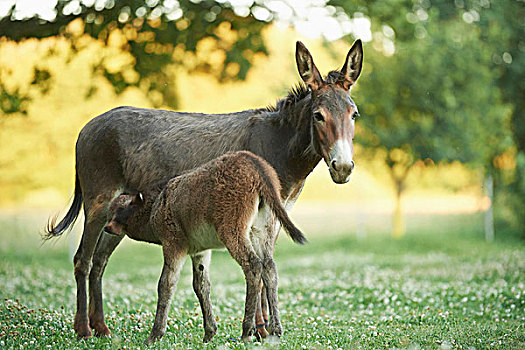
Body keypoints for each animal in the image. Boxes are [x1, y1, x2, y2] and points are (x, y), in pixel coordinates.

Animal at [104, 151, 304, 344]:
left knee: (253, 266)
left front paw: (155, 335)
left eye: (124, 207)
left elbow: (166, 284)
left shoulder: (173, 244)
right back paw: (276, 330)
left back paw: (247, 331)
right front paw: (209, 333)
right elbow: (201, 285)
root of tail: (257, 167)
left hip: (232, 231)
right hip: (263, 231)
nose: (108, 227)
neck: (156, 206)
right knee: (269, 269)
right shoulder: (200, 251)